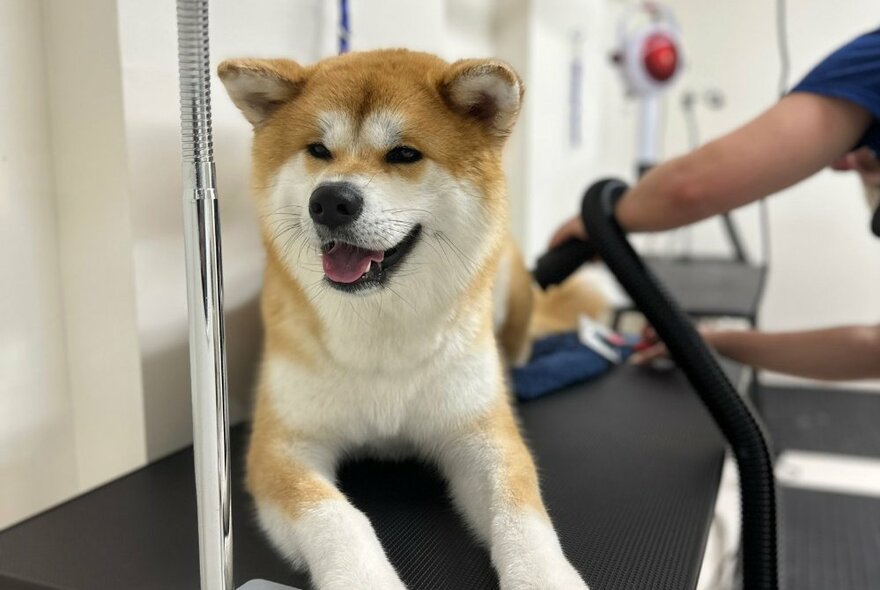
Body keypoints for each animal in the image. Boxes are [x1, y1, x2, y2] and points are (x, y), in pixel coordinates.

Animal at [220, 48, 592, 588]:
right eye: (318, 150)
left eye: (404, 155)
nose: (330, 200)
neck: (382, 332)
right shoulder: (281, 446)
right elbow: (336, 517)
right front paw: (364, 577)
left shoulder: (482, 433)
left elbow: (520, 510)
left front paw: (544, 576)